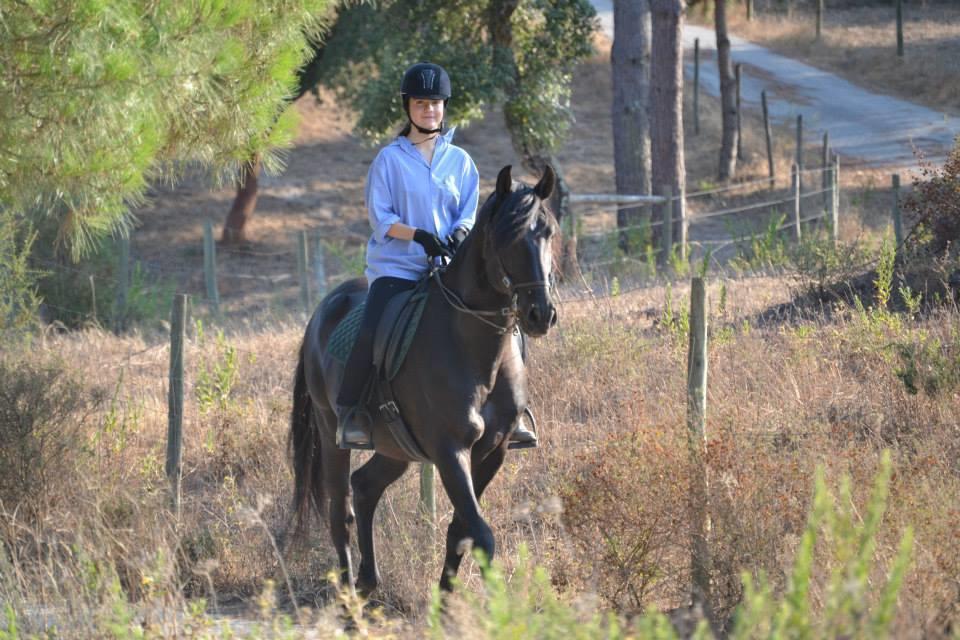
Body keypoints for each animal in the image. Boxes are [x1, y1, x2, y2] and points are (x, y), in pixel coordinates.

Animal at [288, 165, 560, 596]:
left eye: (548, 230)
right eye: (507, 236)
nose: (541, 314)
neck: (472, 347)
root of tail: (323, 310)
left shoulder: (493, 451)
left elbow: (461, 532)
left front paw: (444, 600)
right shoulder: (450, 451)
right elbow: (482, 535)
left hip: (396, 447)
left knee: (365, 487)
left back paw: (368, 580)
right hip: (331, 430)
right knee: (340, 510)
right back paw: (349, 593)